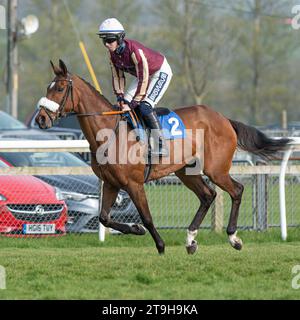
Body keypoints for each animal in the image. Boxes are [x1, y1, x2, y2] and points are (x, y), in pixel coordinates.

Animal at [35, 59, 290, 255]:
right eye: (47, 87)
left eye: (59, 89)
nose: (41, 119)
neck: (109, 132)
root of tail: (225, 119)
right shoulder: (110, 183)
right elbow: (104, 217)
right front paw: (135, 229)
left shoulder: (134, 183)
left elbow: (147, 217)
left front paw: (159, 245)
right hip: (187, 171)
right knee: (208, 195)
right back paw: (191, 240)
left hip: (216, 169)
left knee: (236, 190)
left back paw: (233, 238)